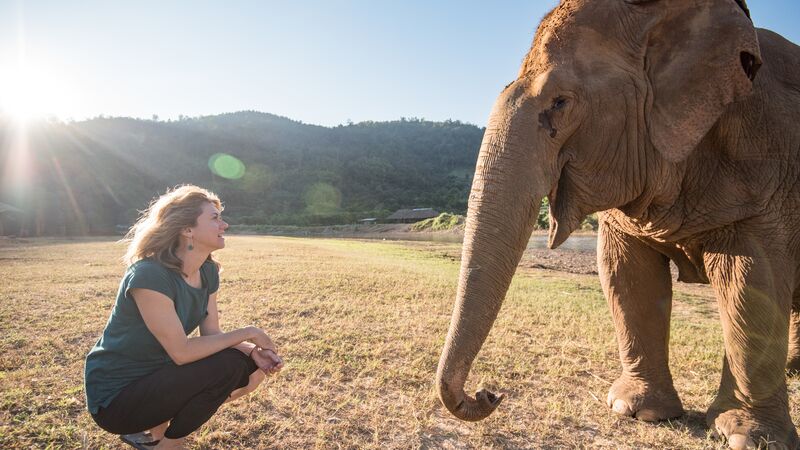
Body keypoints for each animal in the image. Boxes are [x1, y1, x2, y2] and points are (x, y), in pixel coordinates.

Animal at [434, 0, 800, 446]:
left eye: (560, 103)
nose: (490, 393)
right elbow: (626, 275)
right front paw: (637, 411)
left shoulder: (765, 162)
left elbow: (751, 283)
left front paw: (746, 438)